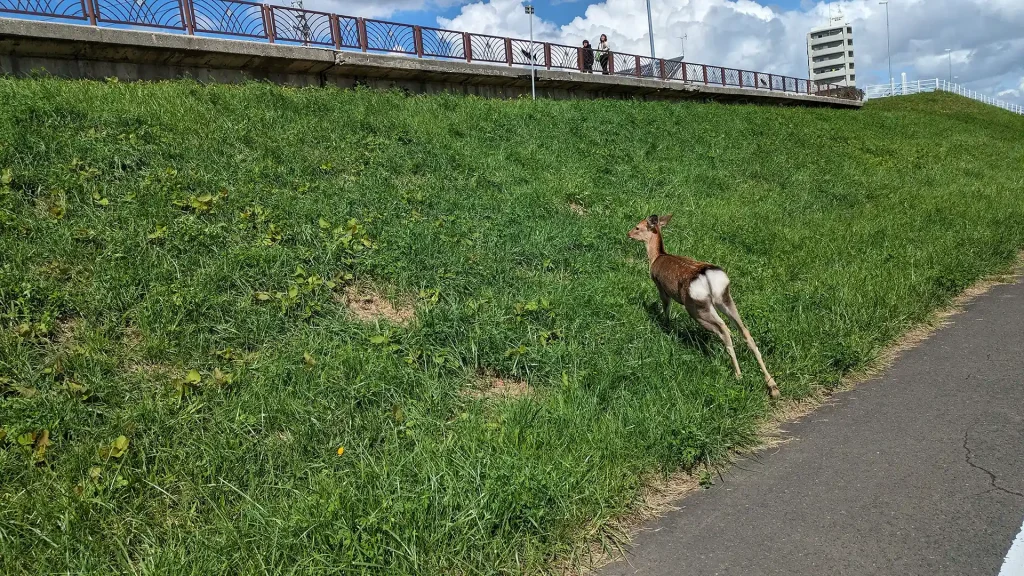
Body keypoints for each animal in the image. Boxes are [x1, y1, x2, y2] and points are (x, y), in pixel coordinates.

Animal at [626, 213, 778, 397]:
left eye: (637, 227)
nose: (628, 234)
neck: (656, 257)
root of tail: (707, 276)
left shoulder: (660, 286)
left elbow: (666, 307)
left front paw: (666, 325)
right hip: (725, 298)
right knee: (744, 330)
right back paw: (772, 385)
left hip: (696, 306)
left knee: (724, 329)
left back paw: (738, 374)